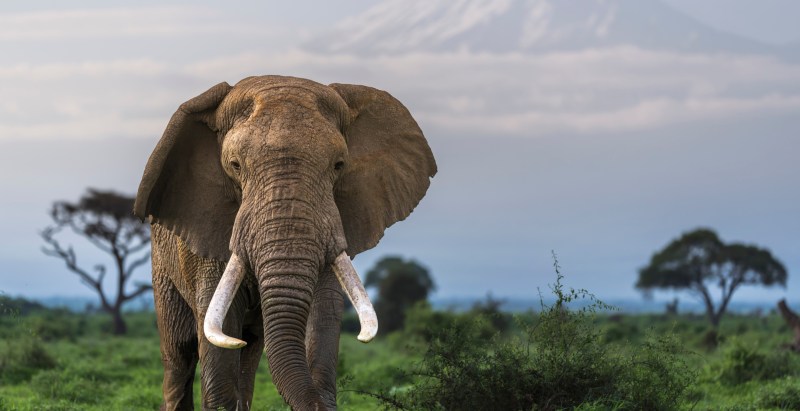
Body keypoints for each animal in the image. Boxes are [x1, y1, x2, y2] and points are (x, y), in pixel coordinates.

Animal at [133, 75, 436, 410]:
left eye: (339, 165)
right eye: (235, 165)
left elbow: (322, 316)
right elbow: (219, 345)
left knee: (250, 351)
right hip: (162, 264)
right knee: (180, 354)